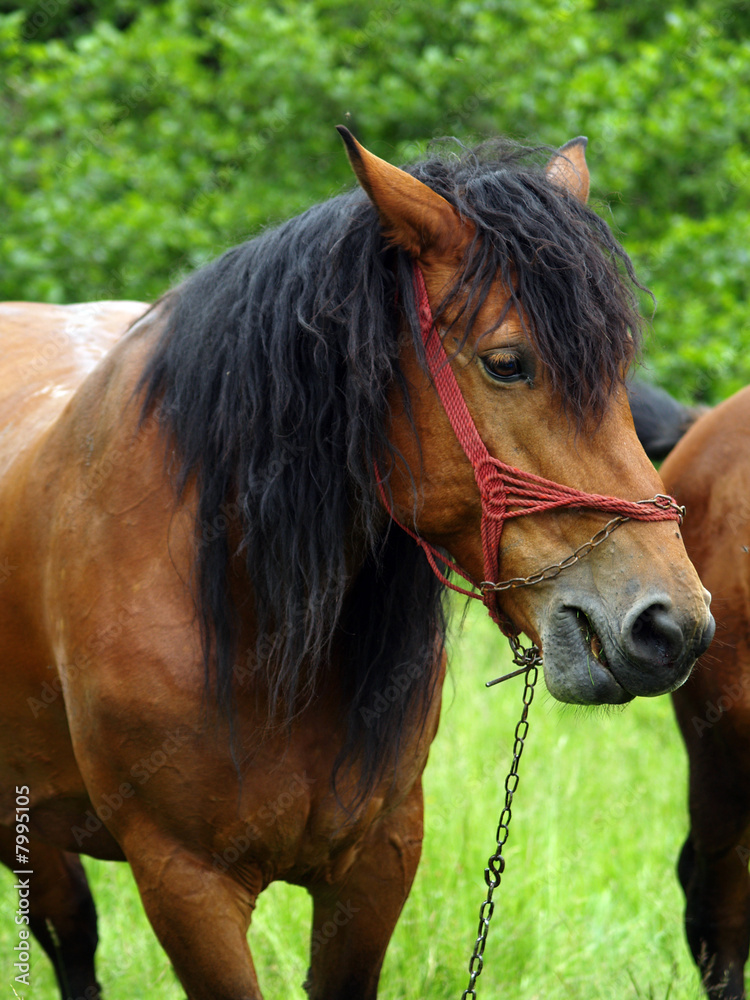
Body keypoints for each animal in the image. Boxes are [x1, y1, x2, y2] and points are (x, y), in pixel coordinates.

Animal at [0, 128, 714, 1000]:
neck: (237, 606)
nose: (670, 625)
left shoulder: (377, 862)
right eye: (507, 362)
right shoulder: (184, 882)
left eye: (618, 369)